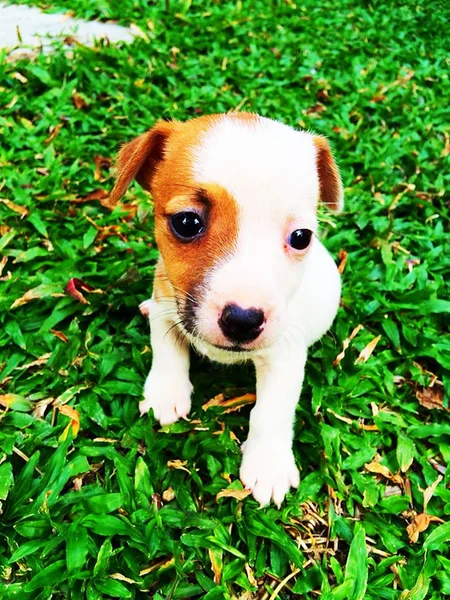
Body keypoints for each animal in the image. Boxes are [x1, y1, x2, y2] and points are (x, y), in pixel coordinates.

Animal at [110, 112, 342, 506]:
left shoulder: (284, 357)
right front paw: (166, 393)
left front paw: (268, 464)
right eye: (187, 222)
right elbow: (167, 349)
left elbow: (272, 411)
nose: (243, 320)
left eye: (301, 237)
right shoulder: (167, 304)